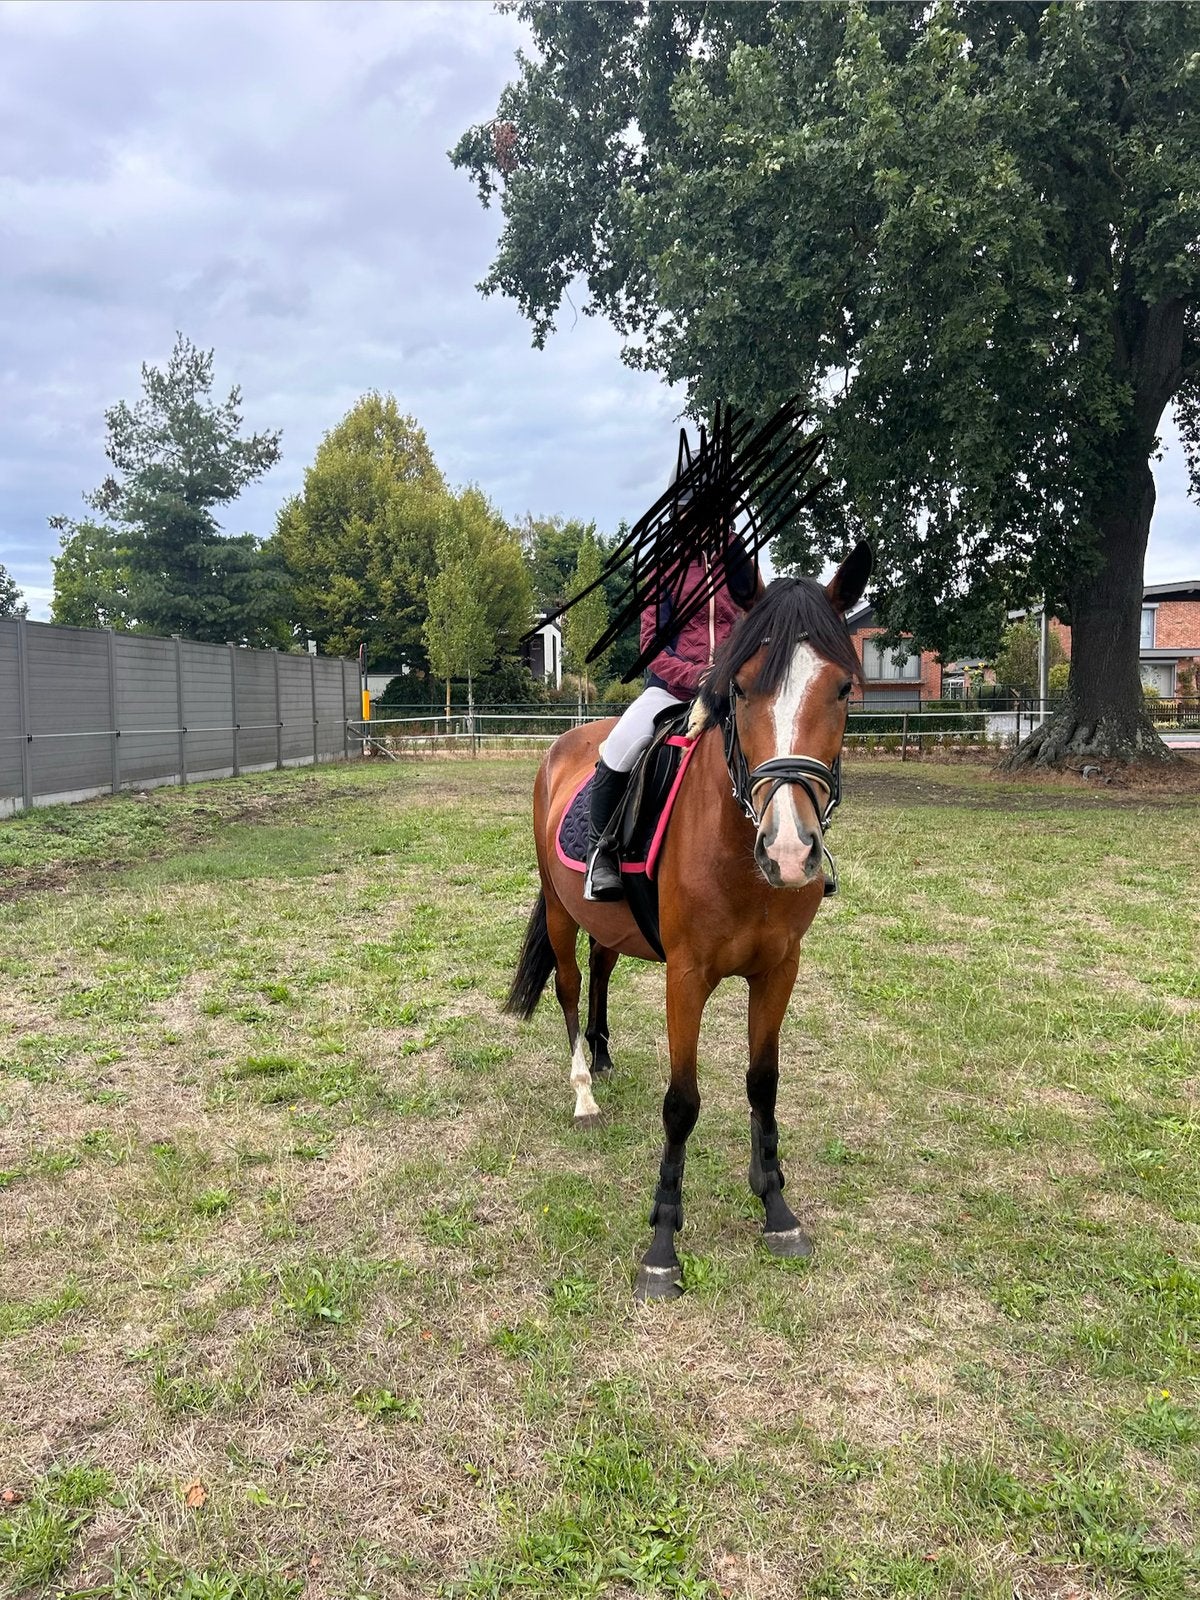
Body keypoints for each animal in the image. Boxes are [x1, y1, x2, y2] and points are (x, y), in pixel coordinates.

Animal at [504, 542, 872, 1300]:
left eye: (843, 688)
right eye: (742, 688)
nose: (788, 851)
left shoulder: (780, 968)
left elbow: (763, 1084)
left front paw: (777, 1209)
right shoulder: (688, 975)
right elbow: (682, 1103)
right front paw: (662, 1246)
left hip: (607, 921)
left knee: (603, 970)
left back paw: (604, 1056)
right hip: (558, 909)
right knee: (569, 986)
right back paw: (584, 1089)